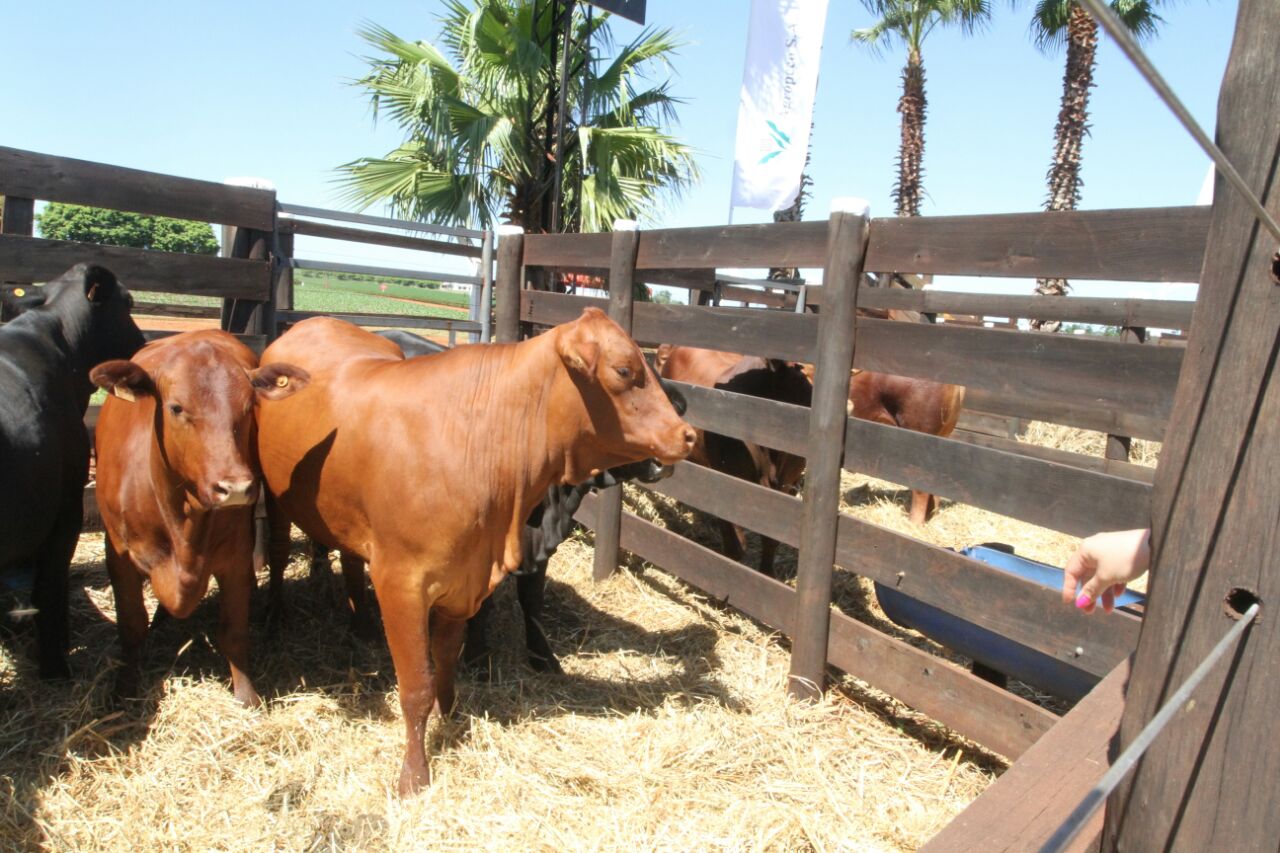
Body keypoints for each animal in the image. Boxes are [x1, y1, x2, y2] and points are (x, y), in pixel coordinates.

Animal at [90, 330, 309, 706]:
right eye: (176, 408)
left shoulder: (235, 556)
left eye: (248, 407)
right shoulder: (118, 555)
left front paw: (246, 695)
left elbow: (233, 630)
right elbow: (131, 626)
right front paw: (124, 690)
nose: (235, 488)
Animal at [256, 308, 694, 794]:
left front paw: (451, 717)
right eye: (624, 370)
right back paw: (274, 616)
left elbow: (447, 660)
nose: (688, 435)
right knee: (278, 551)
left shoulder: (464, 579)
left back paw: (362, 624)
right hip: (275, 494)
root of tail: (314, 322)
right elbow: (417, 684)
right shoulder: (401, 585)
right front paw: (414, 773)